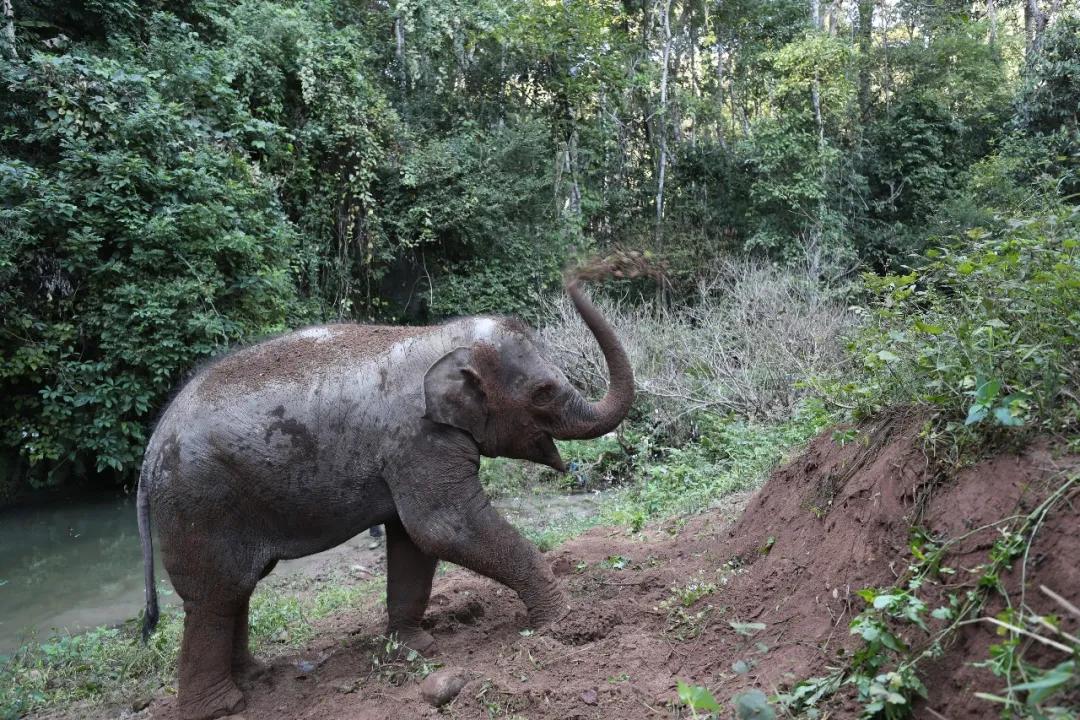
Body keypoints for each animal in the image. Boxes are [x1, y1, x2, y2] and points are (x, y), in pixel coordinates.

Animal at [139, 280, 635, 720]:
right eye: (543, 393)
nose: (575, 277)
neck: (439, 337)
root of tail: (149, 453)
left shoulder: (411, 450)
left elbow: (412, 542)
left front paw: (417, 648)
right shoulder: (419, 439)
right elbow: (444, 527)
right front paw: (562, 621)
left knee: (237, 589)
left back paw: (257, 678)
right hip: (199, 502)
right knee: (214, 596)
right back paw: (222, 707)